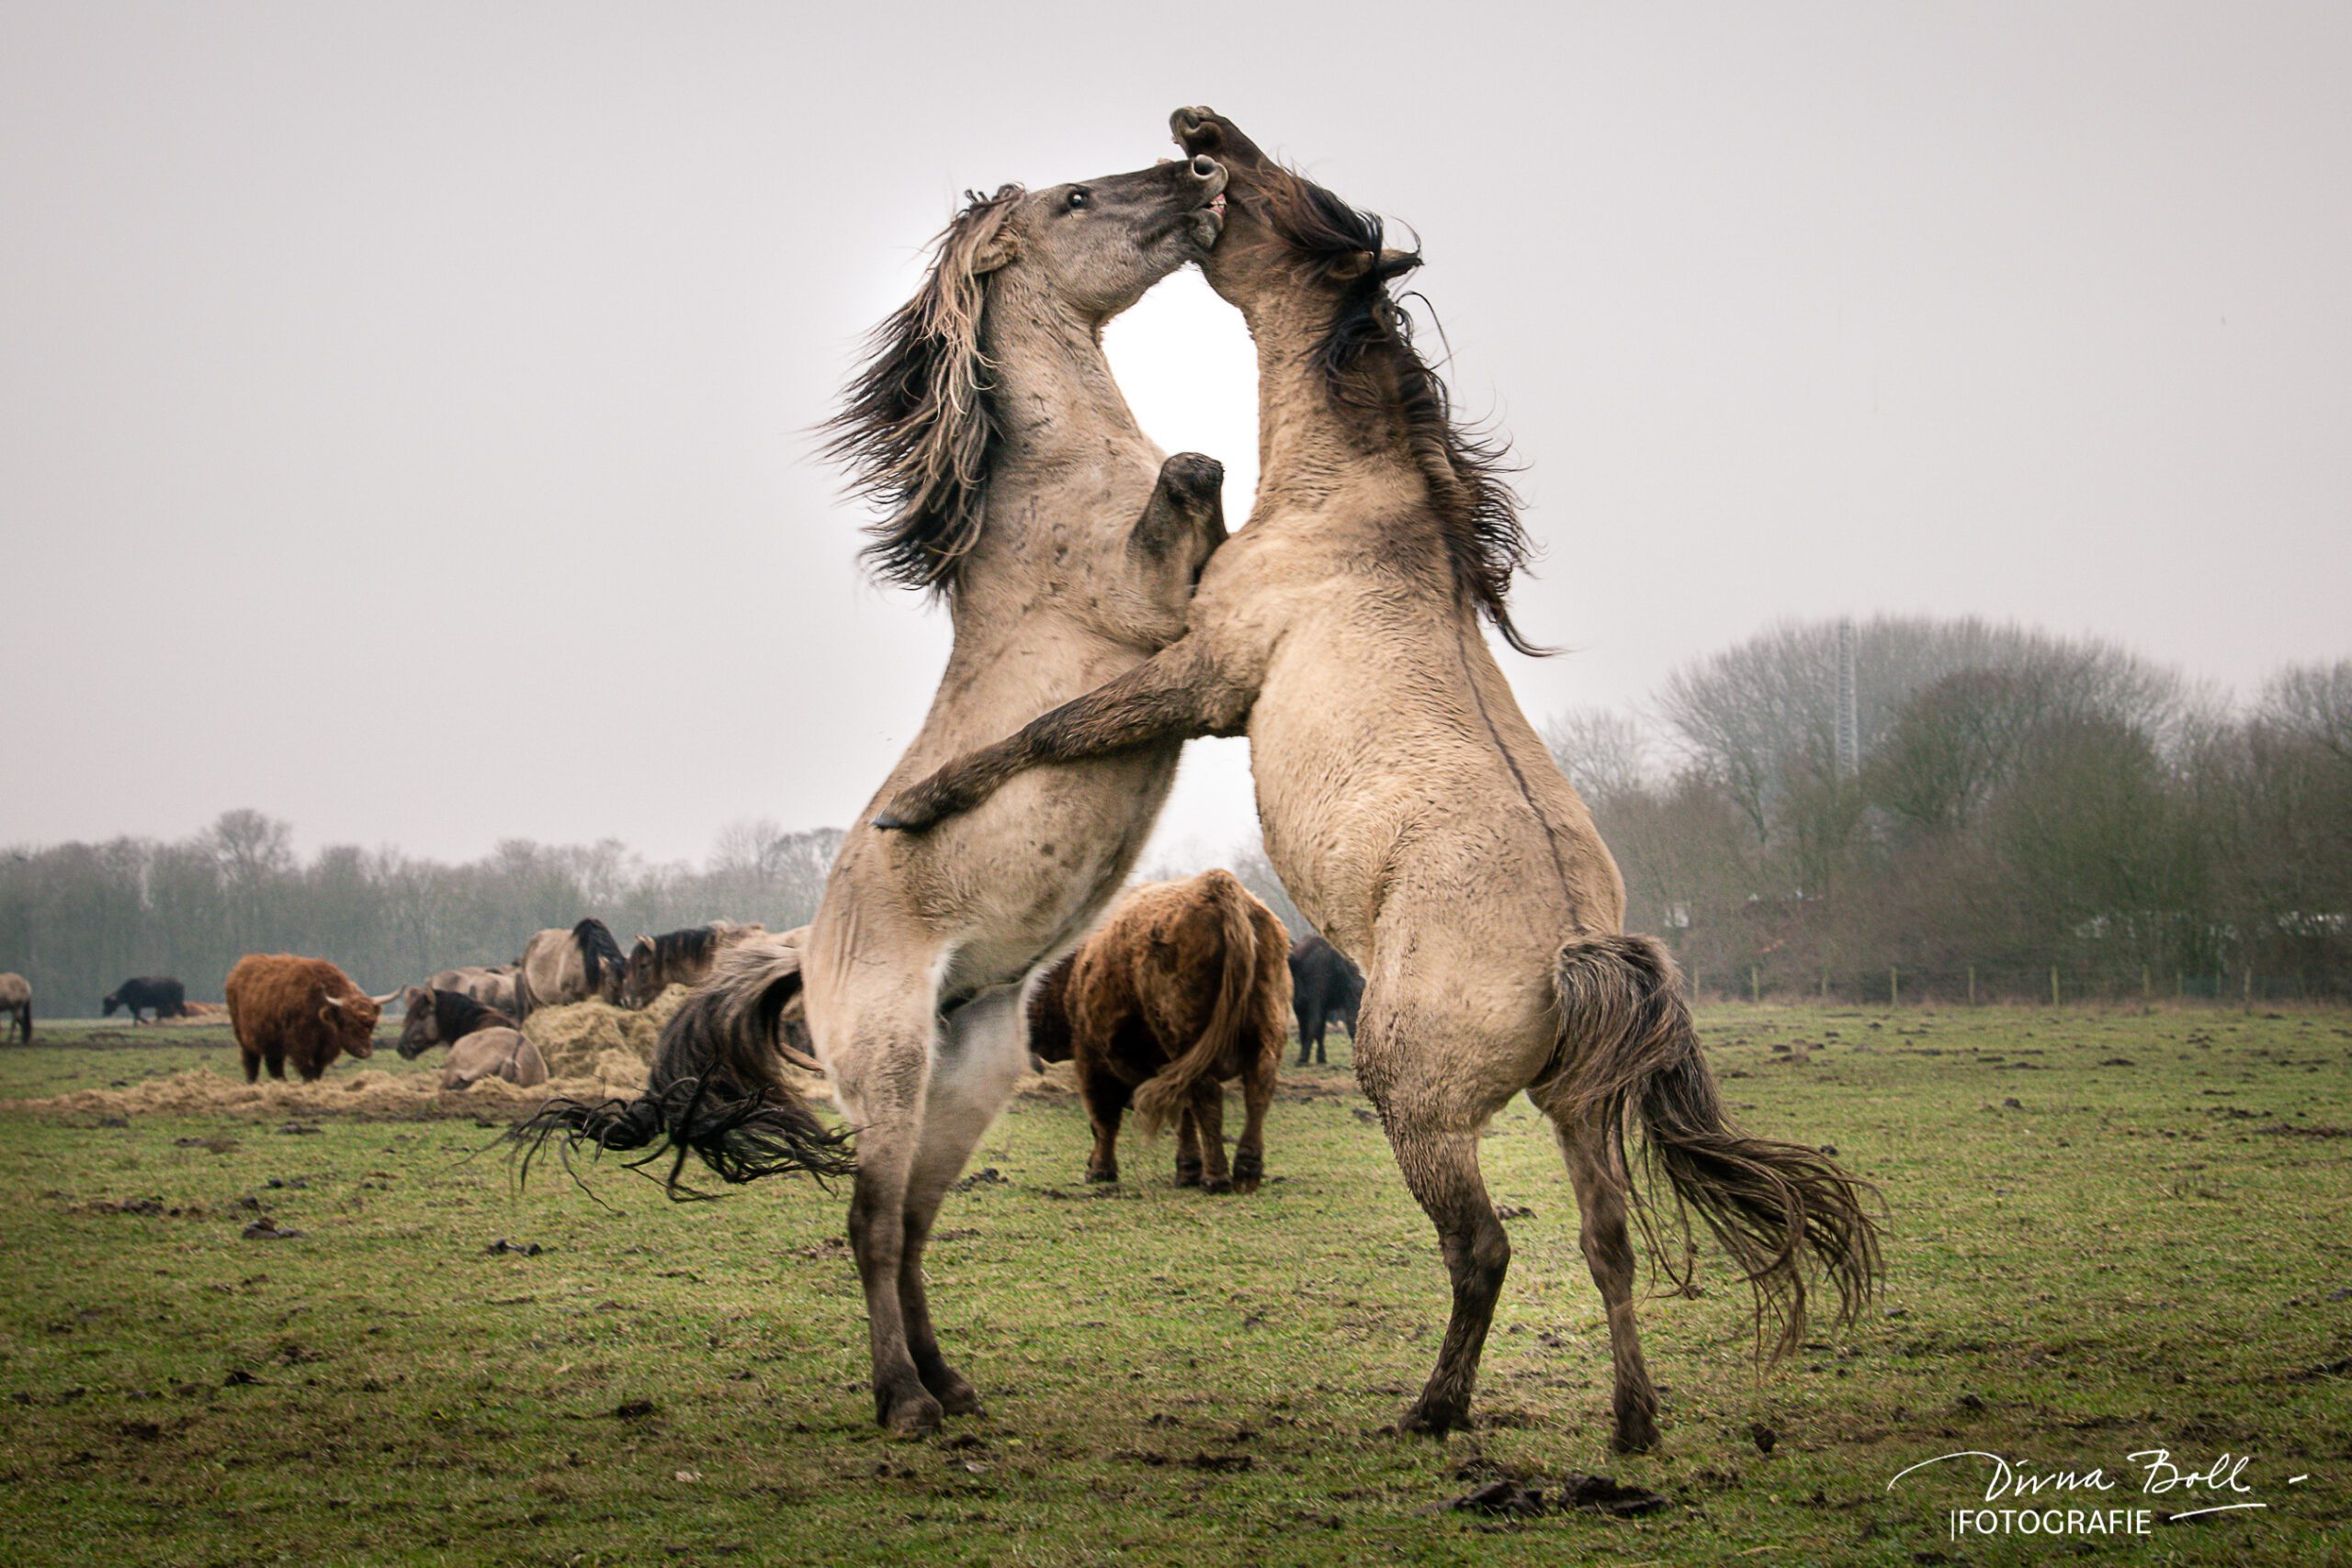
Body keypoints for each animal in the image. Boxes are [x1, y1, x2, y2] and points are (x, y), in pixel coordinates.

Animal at [516, 149, 1233, 1434]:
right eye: (1076, 202)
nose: (1198, 169)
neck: (1069, 474)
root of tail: (808, 952)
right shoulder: (1144, 605)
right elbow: (1192, 472)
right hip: (892, 1065)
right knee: (868, 1223)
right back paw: (903, 1400)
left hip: (968, 1078)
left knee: (910, 1227)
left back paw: (949, 1386)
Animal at [1026, 870, 1288, 1192]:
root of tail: (1216, 886)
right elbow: (1182, 1114)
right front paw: (1187, 1170)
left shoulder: (1090, 1058)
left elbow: (1103, 1118)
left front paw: (1100, 1169)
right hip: (1264, 1034)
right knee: (1258, 1088)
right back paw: (1247, 1169)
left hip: (1189, 1041)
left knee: (1207, 1093)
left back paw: (1216, 1177)